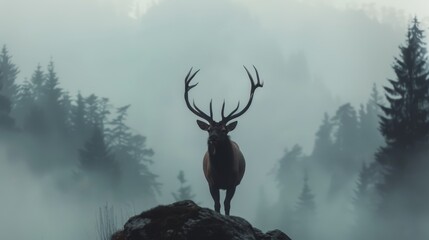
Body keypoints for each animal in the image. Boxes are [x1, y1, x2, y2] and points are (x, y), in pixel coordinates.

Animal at [182, 65, 262, 216]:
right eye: (209, 129)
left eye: (224, 130)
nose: (212, 138)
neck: (222, 170)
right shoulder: (212, 183)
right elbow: (217, 204)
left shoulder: (233, 183)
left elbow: (227, 204)